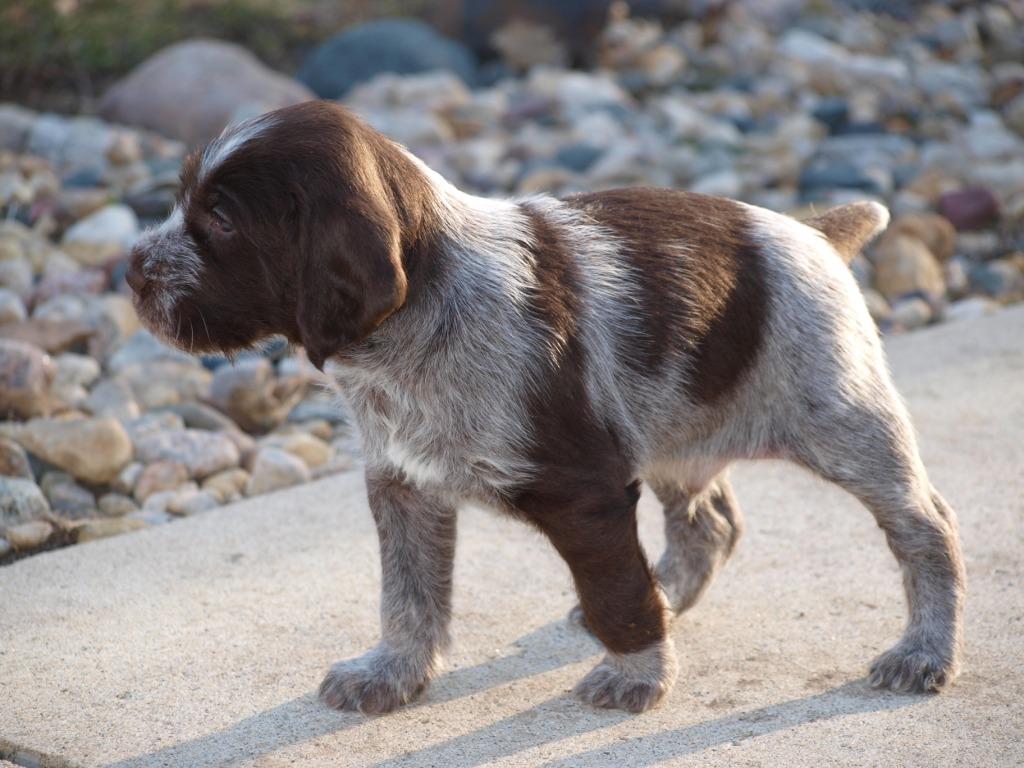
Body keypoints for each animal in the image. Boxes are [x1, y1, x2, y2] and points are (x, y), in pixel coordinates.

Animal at [123, 100, 962, 716]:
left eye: (222, 219)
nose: (129, 271)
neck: (425, 316)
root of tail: (812, 232)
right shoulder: (403, 483)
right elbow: (407, 596)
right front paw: (392, 672)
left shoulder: (585, 492)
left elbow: (618, 593)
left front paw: (636, 673)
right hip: (674, 430)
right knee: (711, 525)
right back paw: (674, 595)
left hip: (842, 418)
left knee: (926, 527)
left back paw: (924, 652)